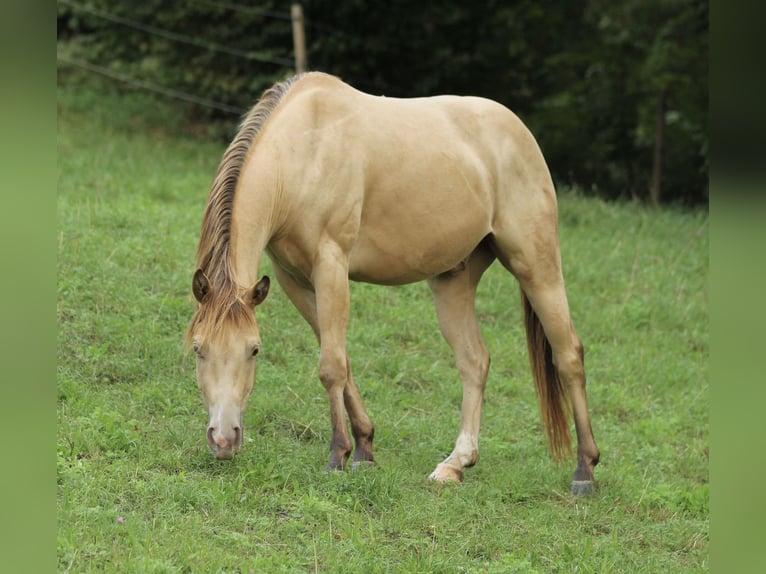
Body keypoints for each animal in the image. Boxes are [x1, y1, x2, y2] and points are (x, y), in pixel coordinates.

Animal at [186, 72, 600, 495]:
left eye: (254, 350)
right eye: (198, 349)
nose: (223, 440)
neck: (304, 151)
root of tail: (520, 132)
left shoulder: (331, 266)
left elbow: (331, 366)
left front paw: (338, 456)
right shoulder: (294, 281)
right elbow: (342, 359)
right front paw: (364, 449)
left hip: (536, 266)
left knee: (569, 355)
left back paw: (584, 470)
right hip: (453, 281)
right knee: (474, 362)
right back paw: (456, 463)